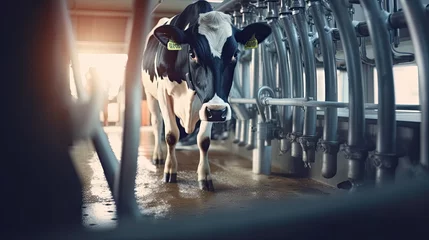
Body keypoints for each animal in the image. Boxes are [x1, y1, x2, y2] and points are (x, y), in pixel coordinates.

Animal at [144, 0, 270, 191]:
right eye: (193, 54)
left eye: (235, 54)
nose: (218, 112)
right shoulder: (164, 93)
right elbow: (171, 135)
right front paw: (170, 171)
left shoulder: (209, 106)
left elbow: (204, 140)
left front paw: (205, 177)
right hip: (150, 95)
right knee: (157, 123)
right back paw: (158, 156)